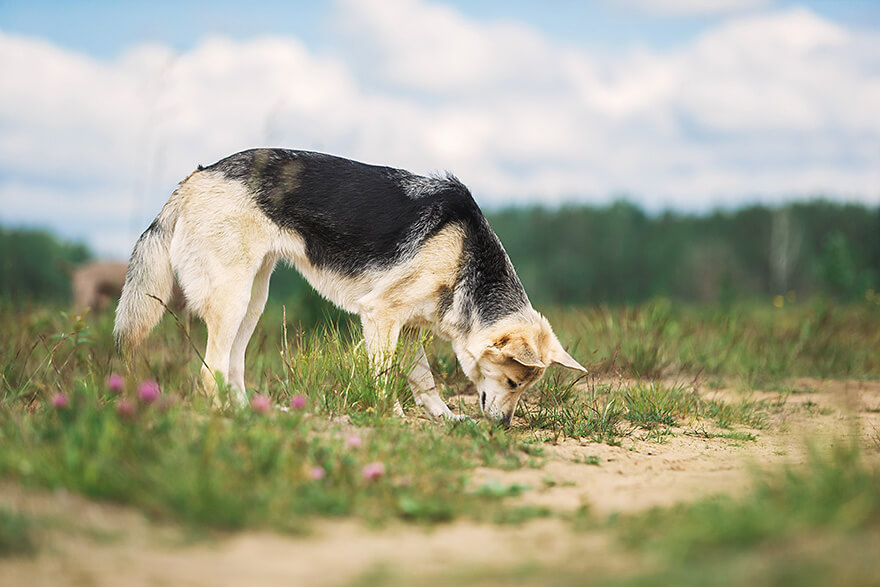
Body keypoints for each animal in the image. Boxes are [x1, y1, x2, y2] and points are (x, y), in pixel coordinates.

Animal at [115, 150, 584, 428]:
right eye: (511, 381)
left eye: (524, 388)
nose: (503, 428)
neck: (466, 257)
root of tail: (195, 178)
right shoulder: (381, 315)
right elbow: (384, 379)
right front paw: (390, 418)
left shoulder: (407, 328)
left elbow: (426, 385)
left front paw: (447, 419)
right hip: (232, 300)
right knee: (209, 372)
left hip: (252, 302)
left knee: (231, 368)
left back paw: (254, 414)